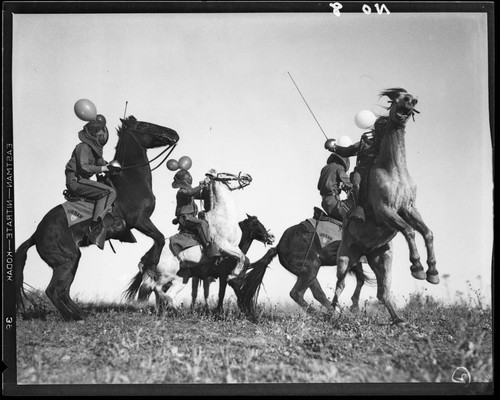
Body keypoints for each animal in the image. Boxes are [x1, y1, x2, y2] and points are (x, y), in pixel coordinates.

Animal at [15, 114, 180, 320]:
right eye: (144, 125)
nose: (173, 133)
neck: (130, 181)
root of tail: (36, 235)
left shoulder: (141, 223)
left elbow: (157, 241)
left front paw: (144, 264)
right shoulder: (140, 221)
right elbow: (159, 238)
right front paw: (148, 269)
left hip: (71, 261)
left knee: (63, 291)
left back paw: (79, 314)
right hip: (66, 261)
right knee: (54, 290)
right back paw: (75, 317)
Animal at [334, 88, 440, 324]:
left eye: (412, 99)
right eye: (397, 98)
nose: (410, 101)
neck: (394, 170)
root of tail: (363, 251)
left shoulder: (409, 209)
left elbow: (427, 232)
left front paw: (432, 273)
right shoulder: (385, 211)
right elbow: (409, 231)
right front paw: (417, 267)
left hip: (382, 259)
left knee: (383, 291)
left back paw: (398, 319)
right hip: (345, 257)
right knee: (340, 285)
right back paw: (331, 314)